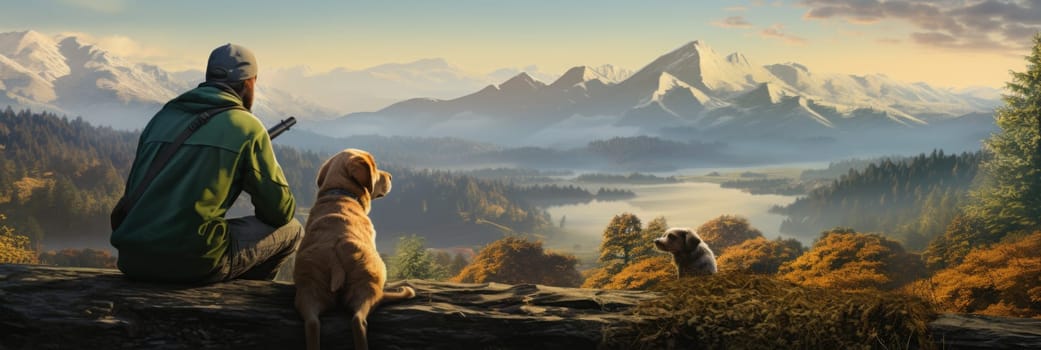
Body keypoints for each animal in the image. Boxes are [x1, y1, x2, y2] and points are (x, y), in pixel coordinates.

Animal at [293, 148, 414, 350]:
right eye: (374, 167)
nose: (390, 176)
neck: (342, 194)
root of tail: (335, 258)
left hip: (309, 291)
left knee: (312, 323)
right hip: (368, 281)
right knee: (359, 320)